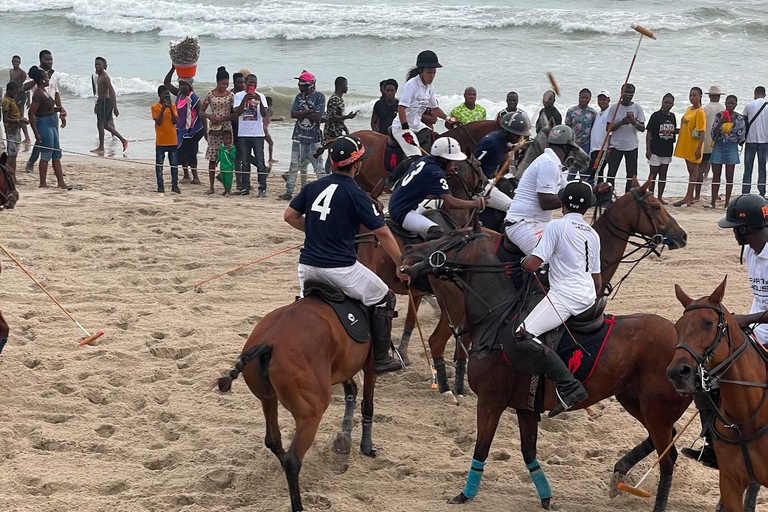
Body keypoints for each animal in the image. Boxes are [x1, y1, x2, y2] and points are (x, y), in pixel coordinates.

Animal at [216, 294, 380, 510]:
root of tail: (269, 342)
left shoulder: (343, 366)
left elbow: (351, 388)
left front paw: (345, 435)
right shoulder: (369, 365)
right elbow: (367, 403)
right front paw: (366, 446)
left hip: (268, 398)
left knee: (273, 440)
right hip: (310, 413)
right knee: (292, 460)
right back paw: (298, 505)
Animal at [404, 221, 692, 512]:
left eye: (451, 235)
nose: (409, 254)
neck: (498, 317)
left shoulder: (490, 401)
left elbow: (482, 448)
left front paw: (465, 495)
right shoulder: (525, 406)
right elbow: (528, 452)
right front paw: (546, 497)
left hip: (655, 408)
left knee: (667, 457)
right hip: (633, 399)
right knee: (666, 439)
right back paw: (619, 471)